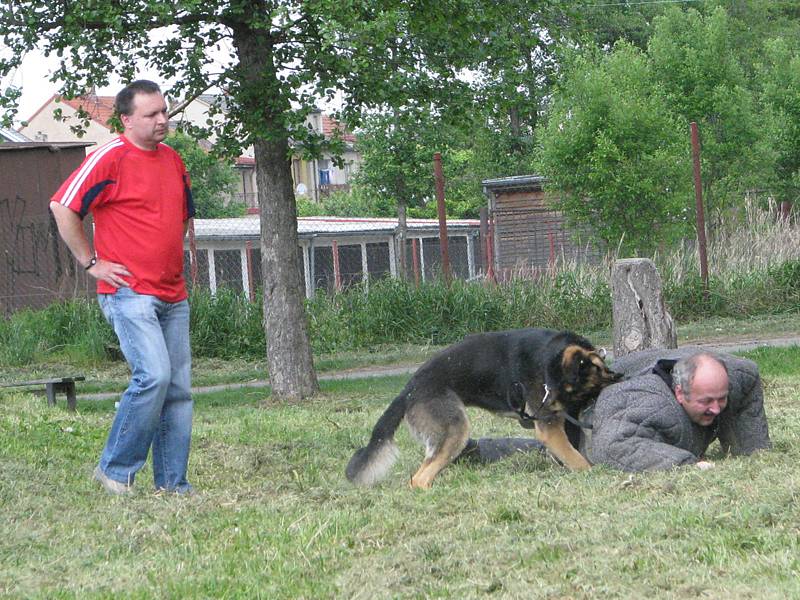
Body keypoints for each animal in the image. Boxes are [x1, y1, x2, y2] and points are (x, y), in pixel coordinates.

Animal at [344, 328, 620, 488]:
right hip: (454, 429)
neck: (549, 353)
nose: (535, 415)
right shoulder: (551, 427)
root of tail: (408, 390)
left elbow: (570, 449)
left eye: (570, 392)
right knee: (419, 478)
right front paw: (592, 474)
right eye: (546, 388)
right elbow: (577, 459)